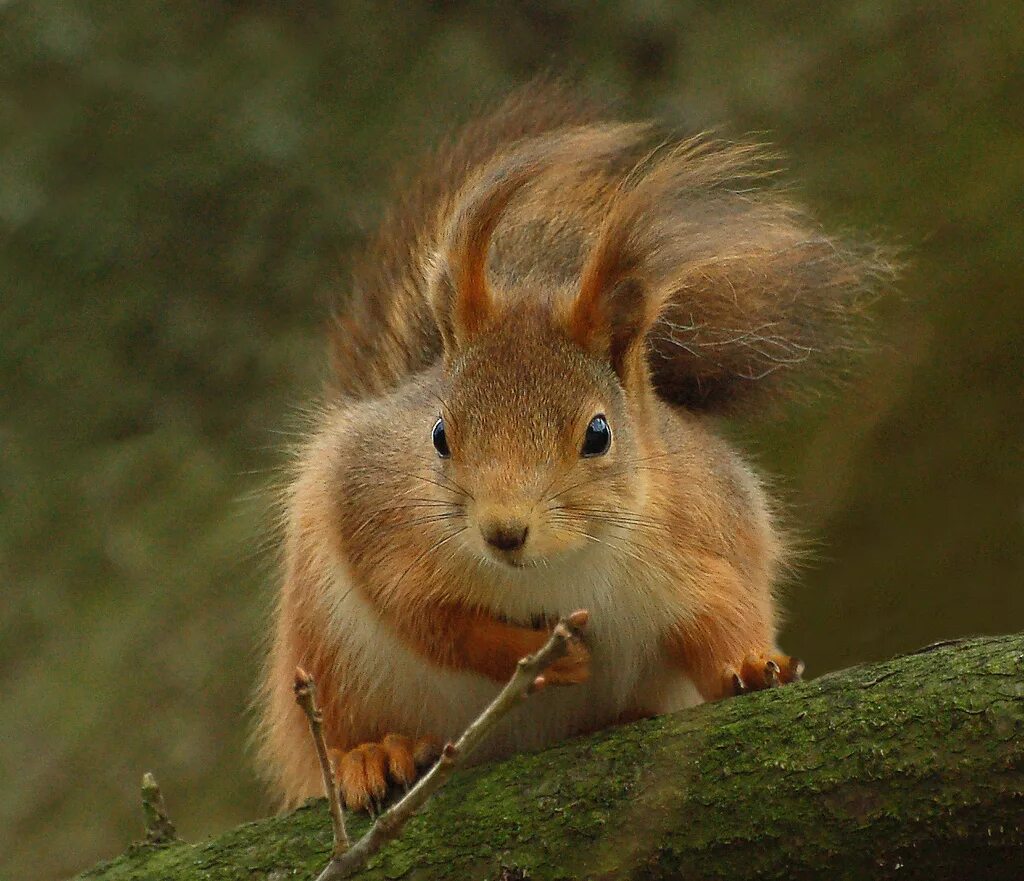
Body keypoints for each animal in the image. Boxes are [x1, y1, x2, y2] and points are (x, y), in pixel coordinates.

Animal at [260, 84, 892, 811]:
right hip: (327, 648)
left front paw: (751, 663)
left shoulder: (707, 535)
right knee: (339, 724)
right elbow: (428, 619)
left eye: (599, 433)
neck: (557, 566)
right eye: (440, 434)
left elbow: (722, 613)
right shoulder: (376, 519)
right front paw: (538, 654)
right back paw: (371, 754)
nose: (504, 532)